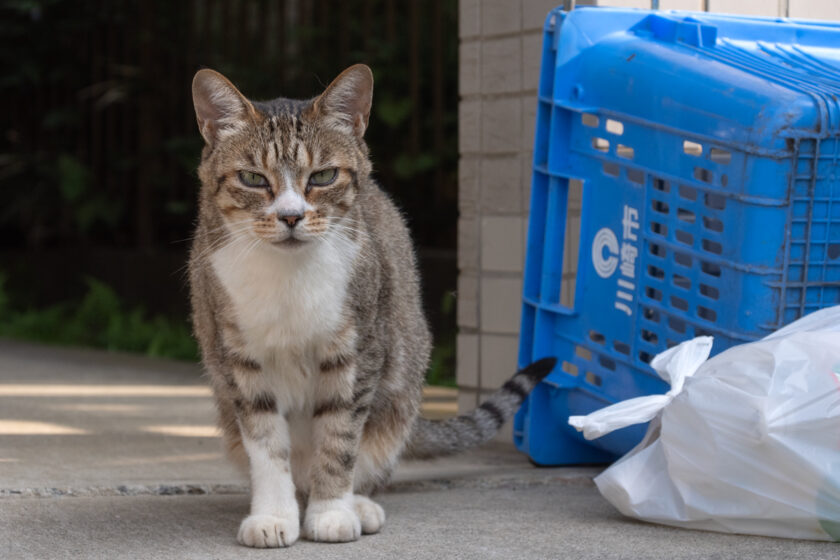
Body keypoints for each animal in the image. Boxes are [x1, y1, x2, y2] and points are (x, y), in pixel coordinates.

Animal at [190, 62, 556, 548]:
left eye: (323, 176)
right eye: (252, 178)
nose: (291, 216)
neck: (289, 277)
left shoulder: (357, 351)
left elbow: (340, 437)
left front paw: (331, 511)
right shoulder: (240, 358)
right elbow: (266, 445)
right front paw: (273, 515)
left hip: (398, 391)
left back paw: (358, 505)